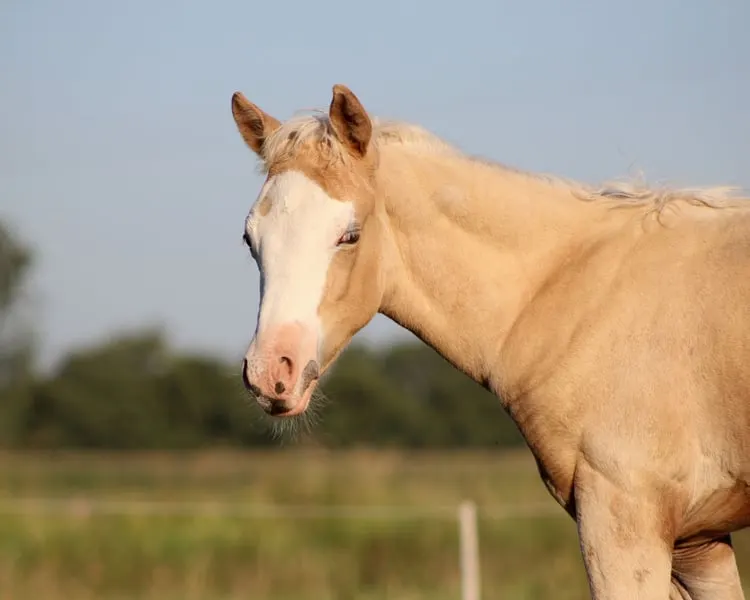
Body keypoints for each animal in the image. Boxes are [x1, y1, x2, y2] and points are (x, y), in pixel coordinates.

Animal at [230, 83, 750, 599]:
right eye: (250, 240)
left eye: (350, 235)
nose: (270, 372)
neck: (577, 292)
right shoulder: (698, 545)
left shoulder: (623, 522)